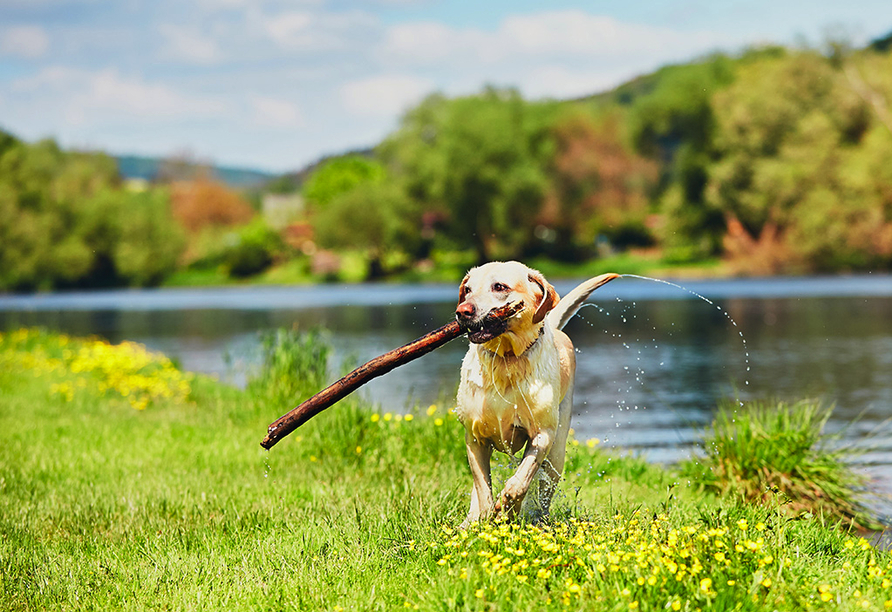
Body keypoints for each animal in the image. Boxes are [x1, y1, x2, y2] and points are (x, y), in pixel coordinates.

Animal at [456, 260, 616, 524]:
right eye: (467, 290)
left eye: (499, 286)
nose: (463, 311)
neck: (506, 359)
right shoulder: (475, 438)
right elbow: (482, 487)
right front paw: (485, 515)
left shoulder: (543, 434)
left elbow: (522, 478)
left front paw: (509, 504)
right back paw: (469, 521)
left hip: (557, 453)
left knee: (544, 488)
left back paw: (539, 520)